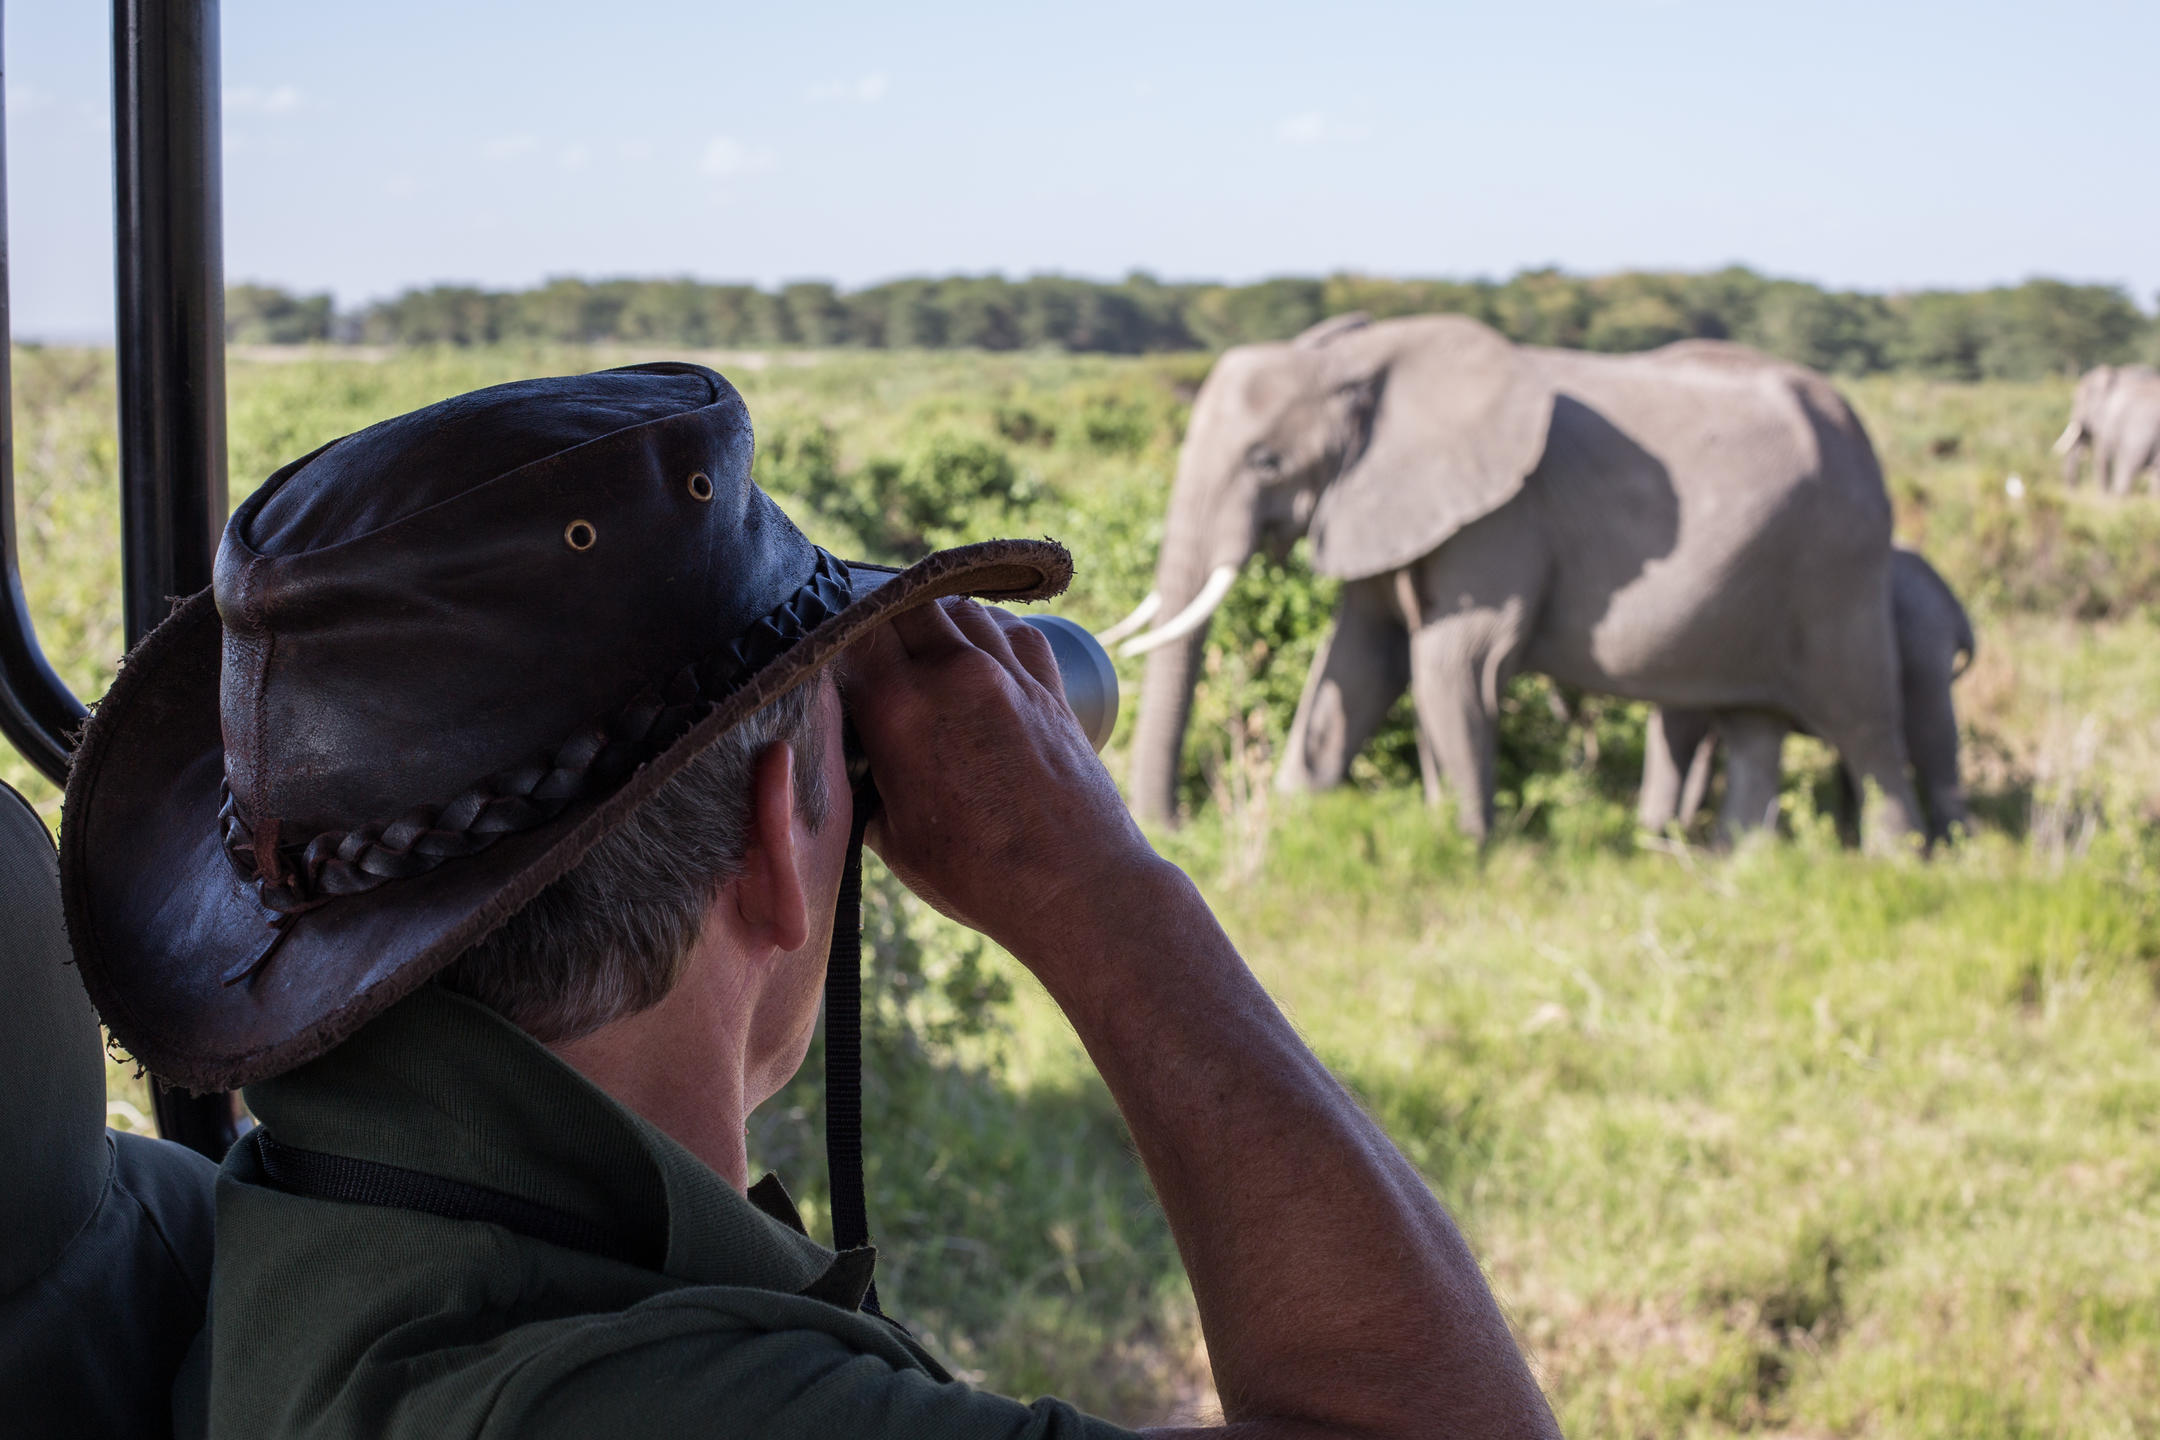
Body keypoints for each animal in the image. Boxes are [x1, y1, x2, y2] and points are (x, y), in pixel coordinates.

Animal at [1105, 317, 1935, 846]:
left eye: (1266, 461)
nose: (1175, 828)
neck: (1362, 361)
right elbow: (1359, 656)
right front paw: (1294, 817)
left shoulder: (1502, 515)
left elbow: (1453, 659)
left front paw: (1465, 844)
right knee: (1754, 725)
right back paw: (1736, 861)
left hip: (1838, 564)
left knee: (1865, 720)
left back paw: (1894, 861)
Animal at [2056, 367, 2160, 496]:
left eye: (2079, 401)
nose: (2073, 492)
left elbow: (2101, 456)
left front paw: (2103, 496)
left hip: (2139, 436)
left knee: (2127, 467)